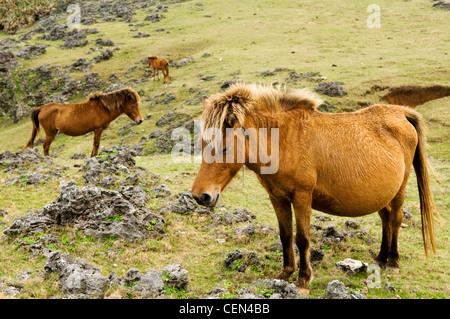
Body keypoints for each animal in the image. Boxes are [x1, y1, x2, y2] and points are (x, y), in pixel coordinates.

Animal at [191, 83, 440, 296]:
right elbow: (285, 235)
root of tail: (401, 114)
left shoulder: (302, 197)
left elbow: (302, 238)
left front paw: (303, 280)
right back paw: (380, 258)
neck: (284, 141)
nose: (201, 196)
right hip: (381, 196)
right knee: (386, 219)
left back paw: (393, 262)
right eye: (202, 144)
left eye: (224, 148)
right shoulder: (278, 198)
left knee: (396, 219)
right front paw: (285, 274)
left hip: (399, 190)